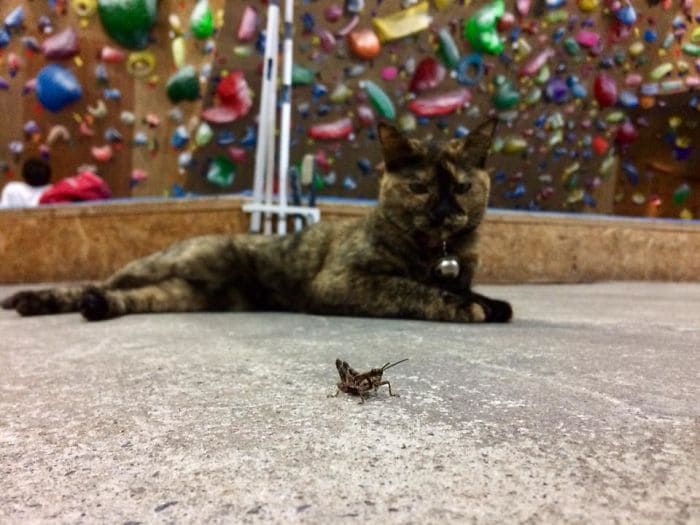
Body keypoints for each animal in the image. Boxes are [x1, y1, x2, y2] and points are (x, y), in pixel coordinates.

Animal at [1, 119, 516, 324]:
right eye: (421, 188)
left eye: (463, 187)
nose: (446, 212)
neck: (438, 254)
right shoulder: (341, 281)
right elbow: (414, 290)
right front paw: (467, 308)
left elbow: (470, 291)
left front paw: (491, 302)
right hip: (157, 266)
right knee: (99, 281)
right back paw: (30, 299)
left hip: (179, 295)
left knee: (123, 296)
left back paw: (93, 307)